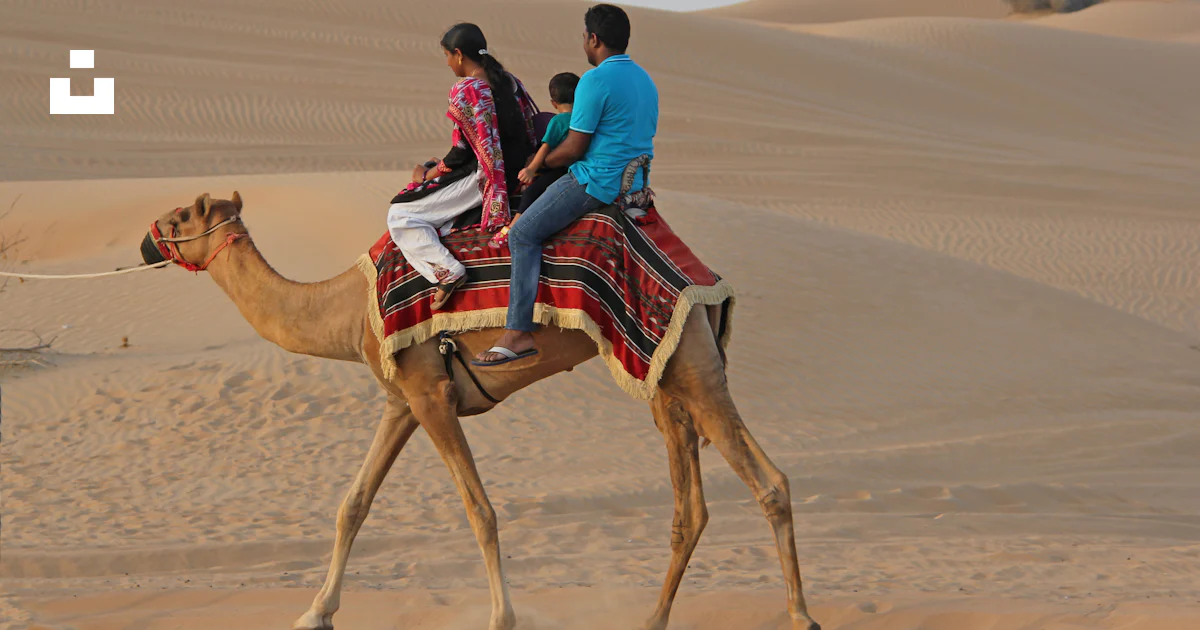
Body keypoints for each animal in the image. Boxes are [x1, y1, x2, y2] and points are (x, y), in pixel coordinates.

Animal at [144, 192, 820, 630]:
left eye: (180, 217)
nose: (148, 239)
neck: (347, 309)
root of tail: (702, 276)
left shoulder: (432, 395)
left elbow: (480, 509)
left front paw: (502, 616)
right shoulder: (402, 400)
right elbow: (353, 505)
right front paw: (314, 611)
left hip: (689, 365)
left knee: (769, 482)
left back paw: (801, 615)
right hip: (664, 379)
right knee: (692, 507)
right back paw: (653, 618)